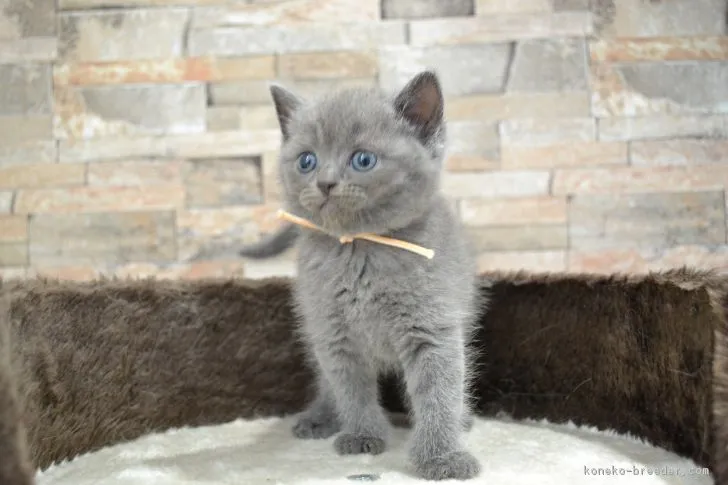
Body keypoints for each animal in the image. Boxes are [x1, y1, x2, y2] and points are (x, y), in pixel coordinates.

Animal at [239, 72, 486, 480]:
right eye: (307, 160)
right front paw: (362, 435)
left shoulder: (432, 329)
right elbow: (349, 387)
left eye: (363, 159)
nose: (324, 182)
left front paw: (441, 457)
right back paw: (321, 417)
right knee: (326, 380)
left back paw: (462, 419)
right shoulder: (333, 333)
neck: (360, 250)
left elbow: (439, 392)